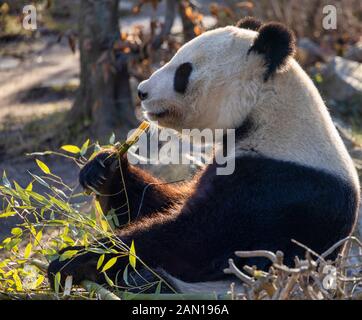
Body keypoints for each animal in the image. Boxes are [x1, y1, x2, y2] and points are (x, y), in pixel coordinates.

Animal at [47, 16, 360, 292]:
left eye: (183, 72)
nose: (142, 92)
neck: (265, 112)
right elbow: (158, 205)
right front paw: (105, 168)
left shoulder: (275, 186)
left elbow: (194, 238)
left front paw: (76, 259)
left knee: (161, 282)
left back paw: (139, 280)